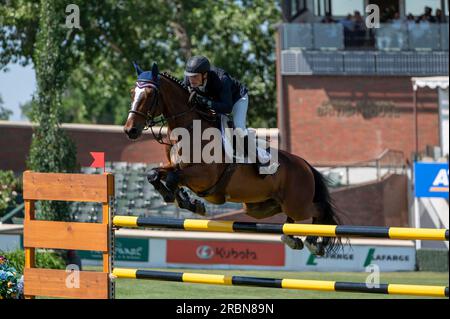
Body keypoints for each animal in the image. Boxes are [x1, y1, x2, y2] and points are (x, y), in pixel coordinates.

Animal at [123, 62, 342, 258]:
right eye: (132, 92)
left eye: (149, 94)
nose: (130, 130)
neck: (187, 129)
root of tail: (304, 165)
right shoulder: (175, 166)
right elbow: (155, 174)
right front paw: (185, 201)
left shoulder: (204, 175)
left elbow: (173, 178)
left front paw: (184, 199)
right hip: (261, 207)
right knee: (291, 218)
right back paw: (292, 239)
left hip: (297, 203)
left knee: (318, 210)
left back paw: (314, 242)